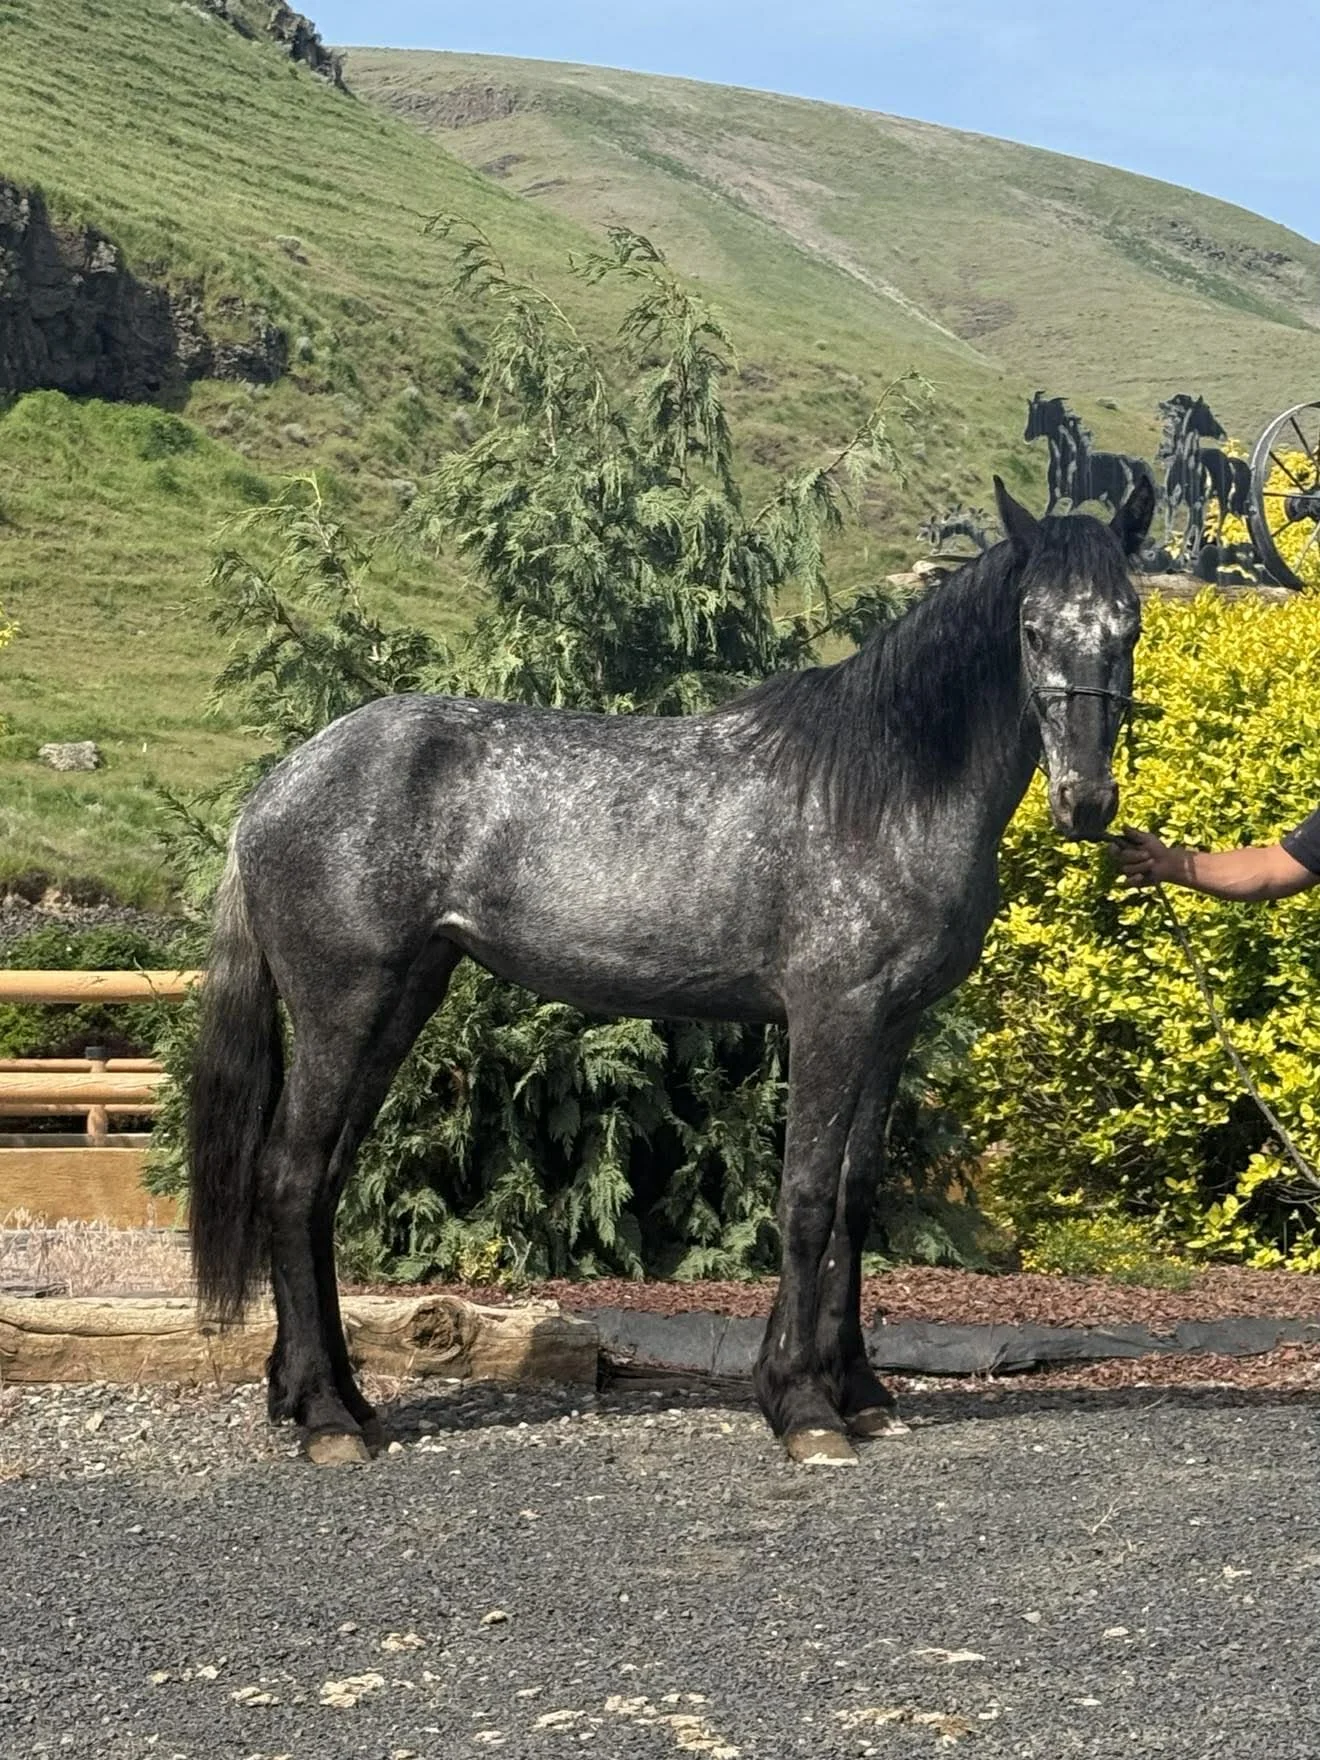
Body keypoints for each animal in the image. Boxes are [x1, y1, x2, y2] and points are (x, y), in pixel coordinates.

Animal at [188, 475, 1155, 1469]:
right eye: (1032, 628)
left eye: (1129, 625)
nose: (1087, 802)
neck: (880, 788)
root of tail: (274, 791)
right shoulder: (832, 1017)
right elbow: (806, 1199)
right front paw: (804, 1407)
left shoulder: (892, 1025)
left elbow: (855, 1198)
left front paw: (859, 1392)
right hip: (342, 1006)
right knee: (290, 1177)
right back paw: (328, 1419)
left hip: (401, 1001)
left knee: (322, 1184)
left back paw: (333, 1397)